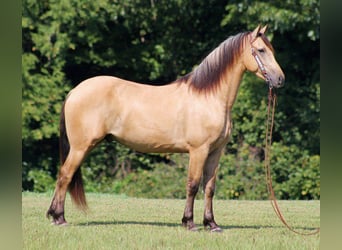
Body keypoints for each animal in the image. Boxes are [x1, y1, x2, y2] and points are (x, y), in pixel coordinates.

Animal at [46, 24, 284, 231]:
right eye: (261, 50)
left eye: (272, 49)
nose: (280, 79)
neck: (210, 97)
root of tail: (74, 91)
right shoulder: (198, 151)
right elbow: (193, 185)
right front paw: (189, 223)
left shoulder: (215, 152)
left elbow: (209, 188)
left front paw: (212, 224)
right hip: (81, 147)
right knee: (65, 175)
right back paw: (59, 218)